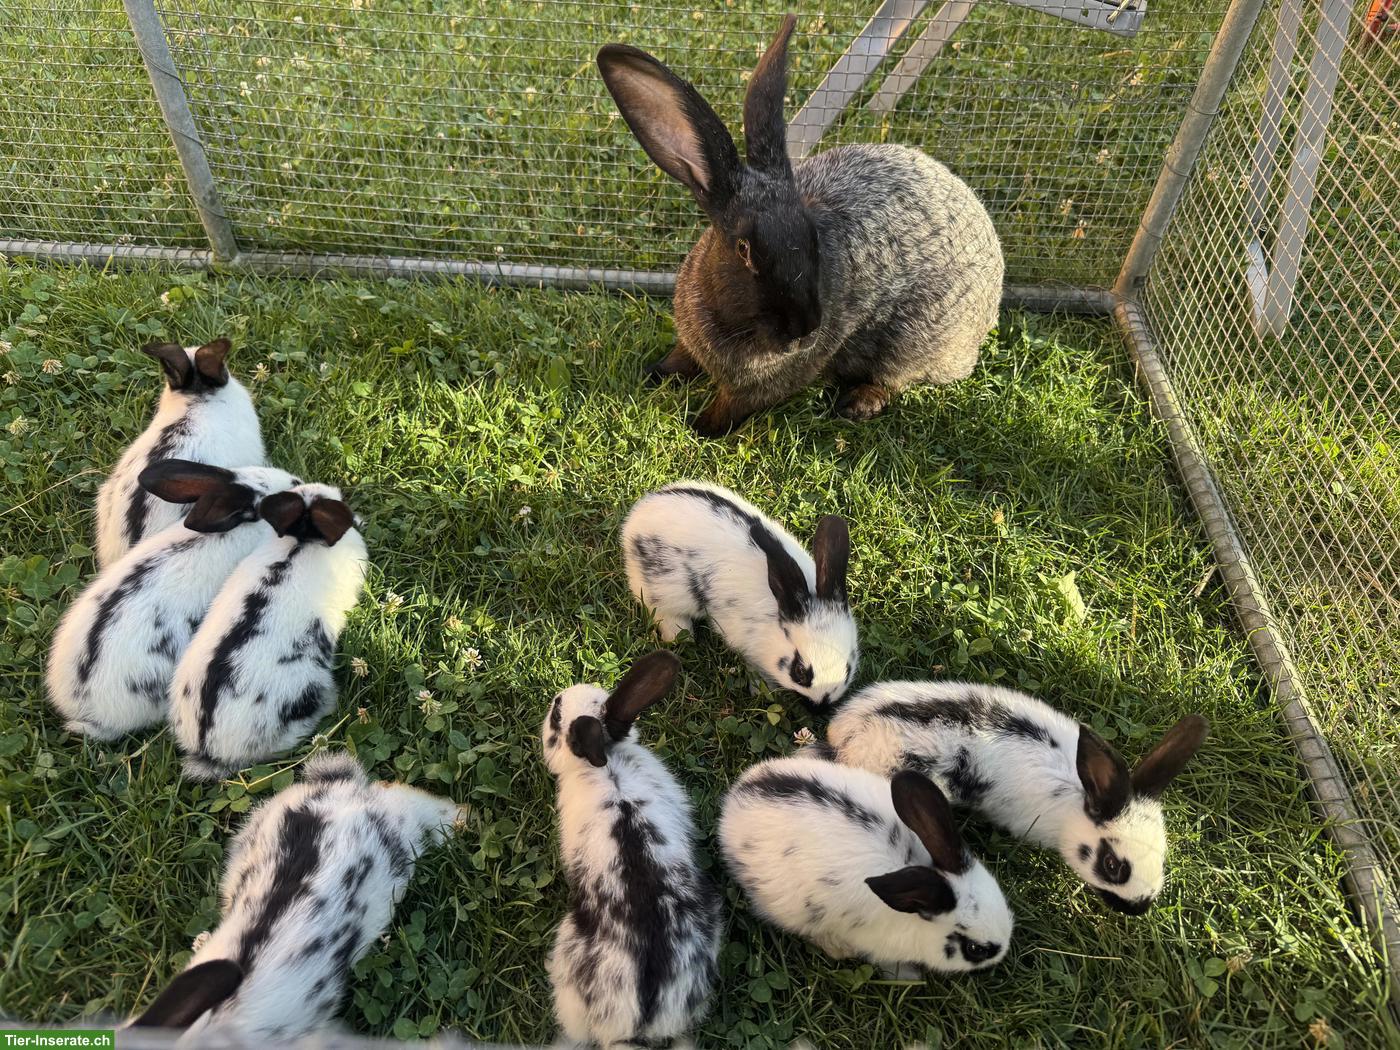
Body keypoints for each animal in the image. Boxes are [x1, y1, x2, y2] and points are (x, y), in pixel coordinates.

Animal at [597, 15, 1002, 436]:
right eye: (743, 249)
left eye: (814, 239)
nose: (803, 331)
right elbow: (681, 357)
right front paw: (655, 373)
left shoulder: (761, 387)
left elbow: (731, 407)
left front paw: (701, 427)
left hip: (913, 342)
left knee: (894, 379)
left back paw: (857, 405)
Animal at [621, 481, 857, 710]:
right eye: (799, 671)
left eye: (848, 668)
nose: (819, 708)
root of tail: (635, 518)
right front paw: (763, 692)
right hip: (662, 590)